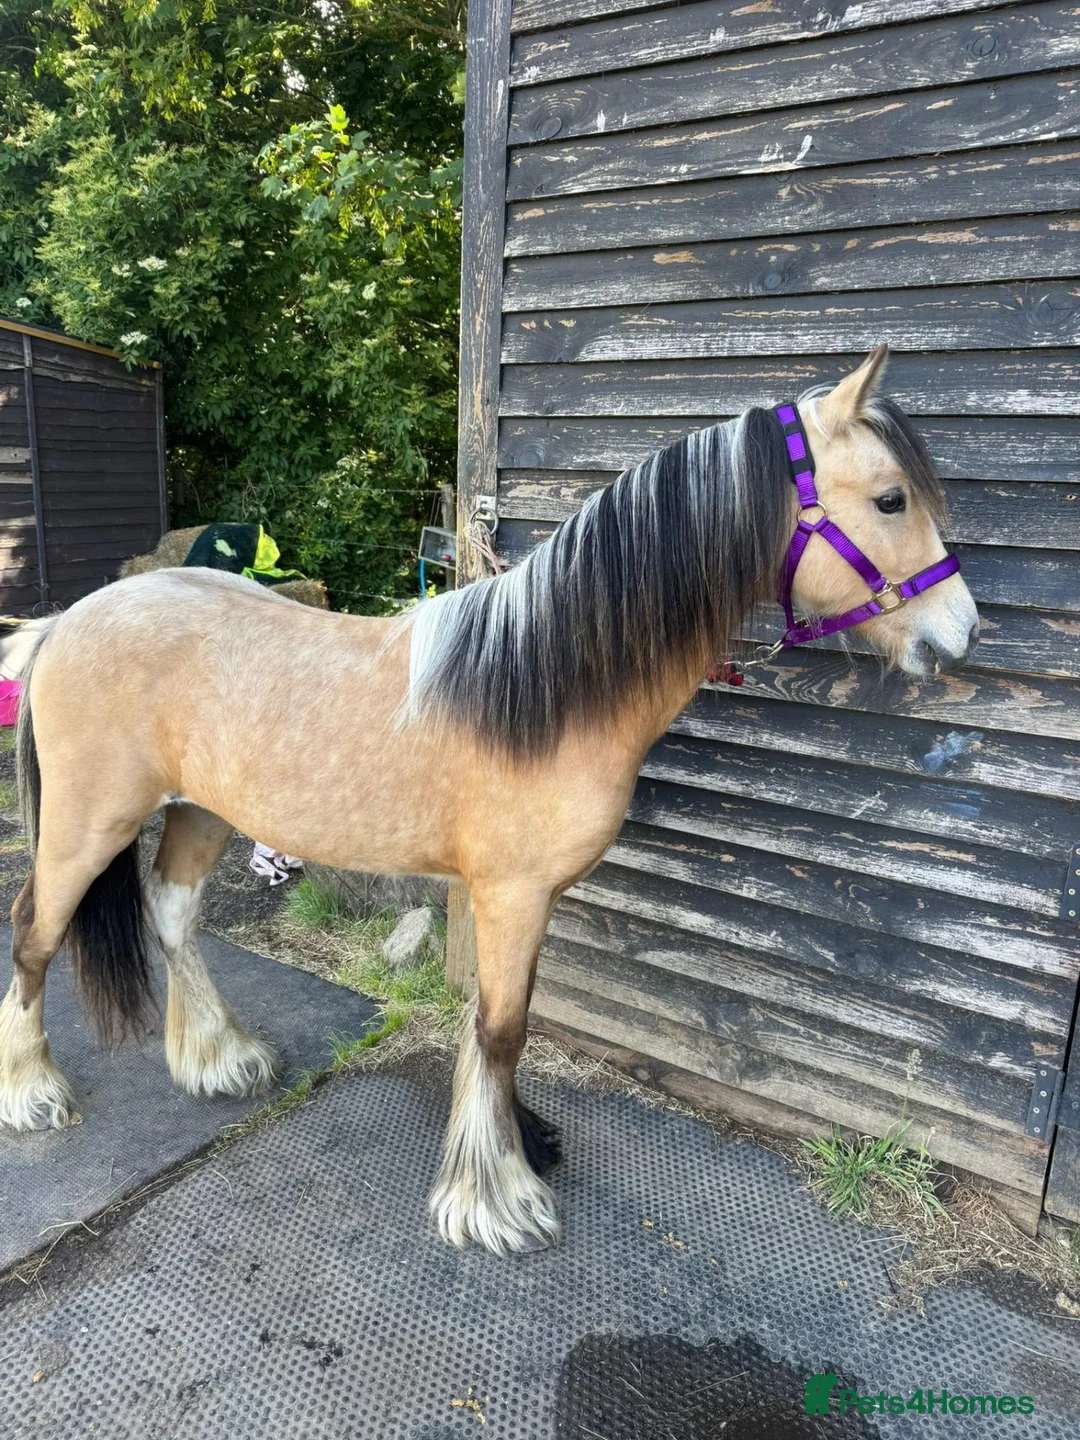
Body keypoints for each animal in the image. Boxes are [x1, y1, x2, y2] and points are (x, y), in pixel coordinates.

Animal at [0, 346, 978, 1255]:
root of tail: (64, 622)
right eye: (891, 500)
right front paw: (497, 1197)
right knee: (35, 932)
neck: (546, 685)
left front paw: (519, 1144)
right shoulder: (511, 894)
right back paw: (34, 1091)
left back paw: (219, 1059)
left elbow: (509, 1022)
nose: (959, 633)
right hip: (90, 825)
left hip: (200, 810)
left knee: (171, 915)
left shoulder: (523, 900)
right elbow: (504, 1029)